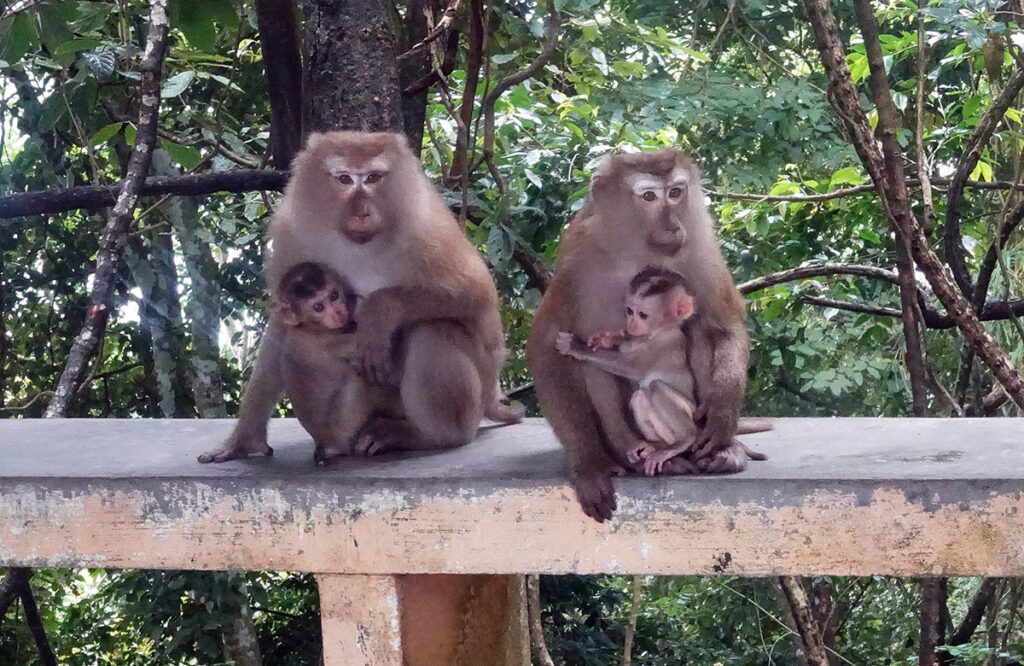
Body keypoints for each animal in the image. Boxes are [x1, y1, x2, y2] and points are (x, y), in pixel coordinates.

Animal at [198, 131, 518, 465]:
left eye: (373, 178)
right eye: (344, 179)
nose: (361, 210)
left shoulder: (427, 228)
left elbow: (476, 295)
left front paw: (379, 312)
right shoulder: (291, 233)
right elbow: (282, 326)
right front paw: (244, 440)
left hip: (477, 394)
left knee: (431, 330)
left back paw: (433, 436)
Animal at [526, 149, 762, 522]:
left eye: (676, 192)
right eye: (649, 196)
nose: (673, 225)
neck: (638, 247)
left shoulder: (701, 247)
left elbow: (725, 324)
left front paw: (724, 414)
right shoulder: (578, 261)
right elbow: (547, 347)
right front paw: (589, 465)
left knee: (699, 328)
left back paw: (720, 451)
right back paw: (631, 451)